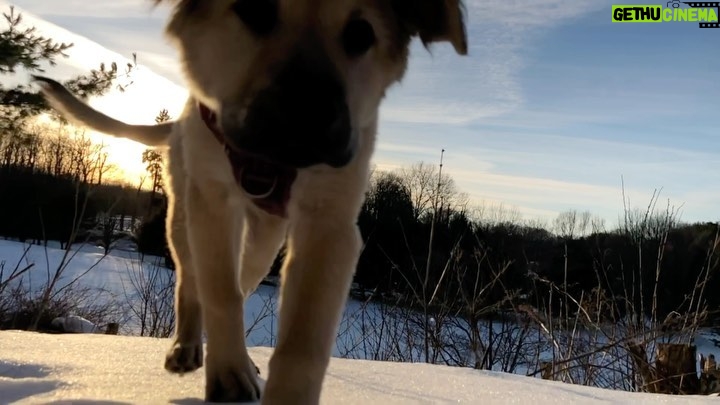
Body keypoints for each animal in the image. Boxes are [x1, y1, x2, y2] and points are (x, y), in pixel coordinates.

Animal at [35, 1, 466, 402]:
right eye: (253, 10)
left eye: (362, 34)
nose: (305, 117)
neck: (273, 163)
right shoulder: (213, 203)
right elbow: (221, 293)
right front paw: (229, 373)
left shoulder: (331, 227)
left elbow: (302, 342)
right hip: (184, 214)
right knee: (193, 279)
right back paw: (189, 346)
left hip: (264, 238)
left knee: (241, 278)